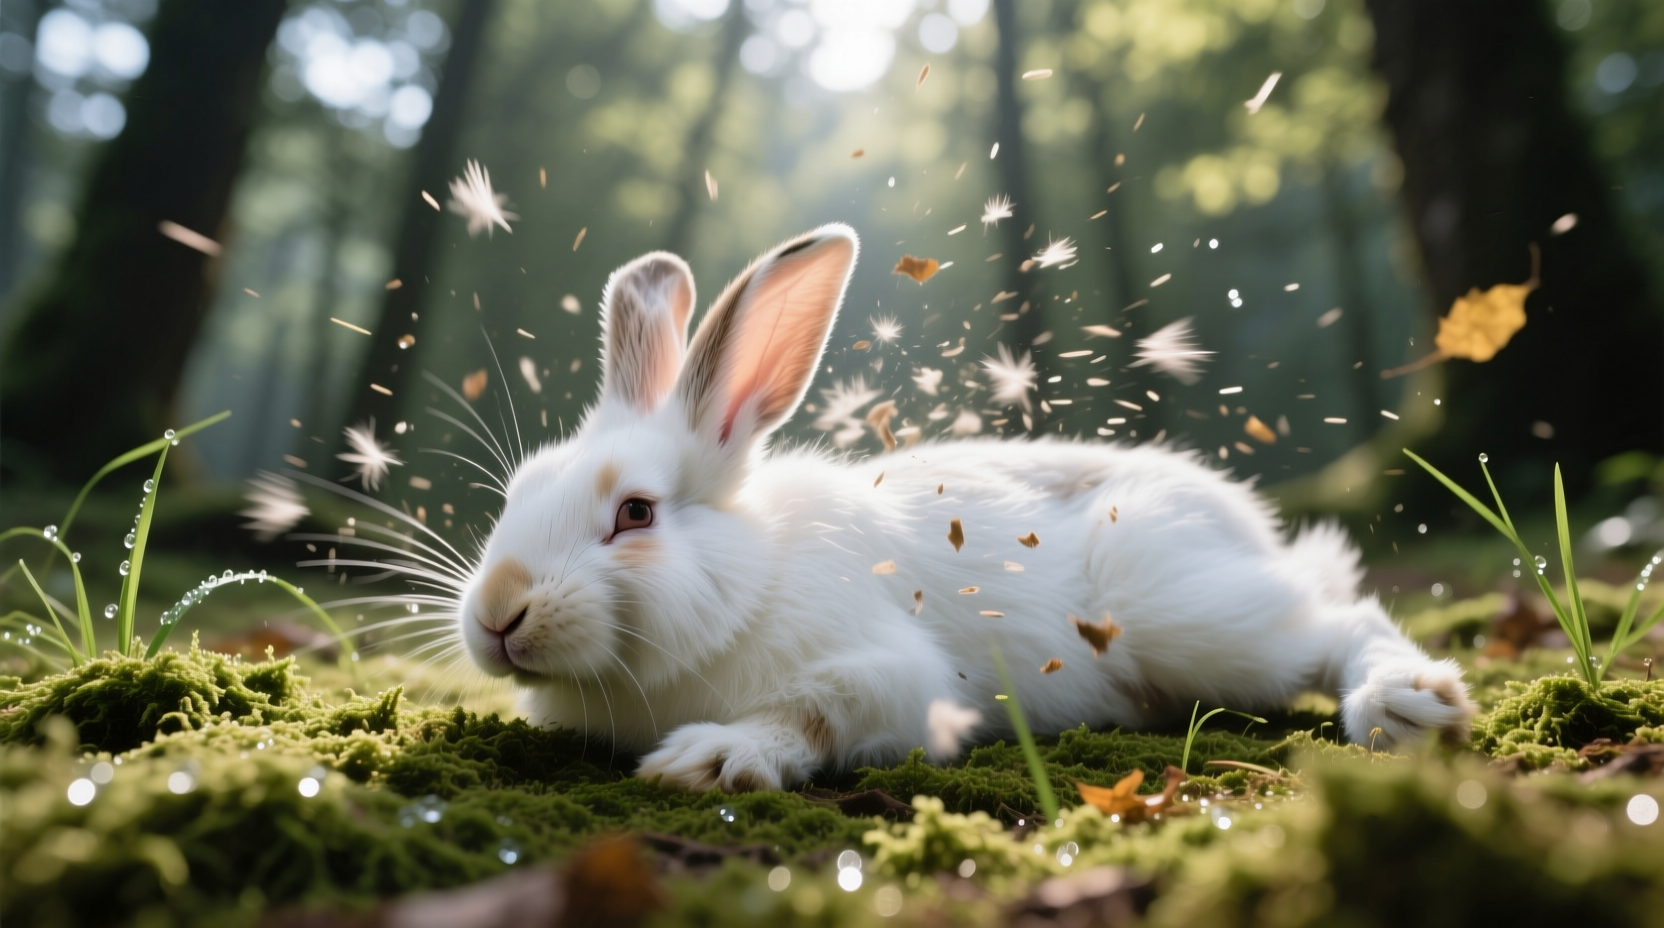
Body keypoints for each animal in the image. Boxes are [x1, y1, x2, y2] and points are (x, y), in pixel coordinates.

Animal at [458, 223, 1476, 794]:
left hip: (1189, 614)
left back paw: (1405, 704)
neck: (750, 578)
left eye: (634, 514)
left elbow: (816, 710)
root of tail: (1246, 526)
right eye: (517, 492)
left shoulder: (892, 673)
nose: (498, 614)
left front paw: (708, 759)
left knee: (1339, 621)